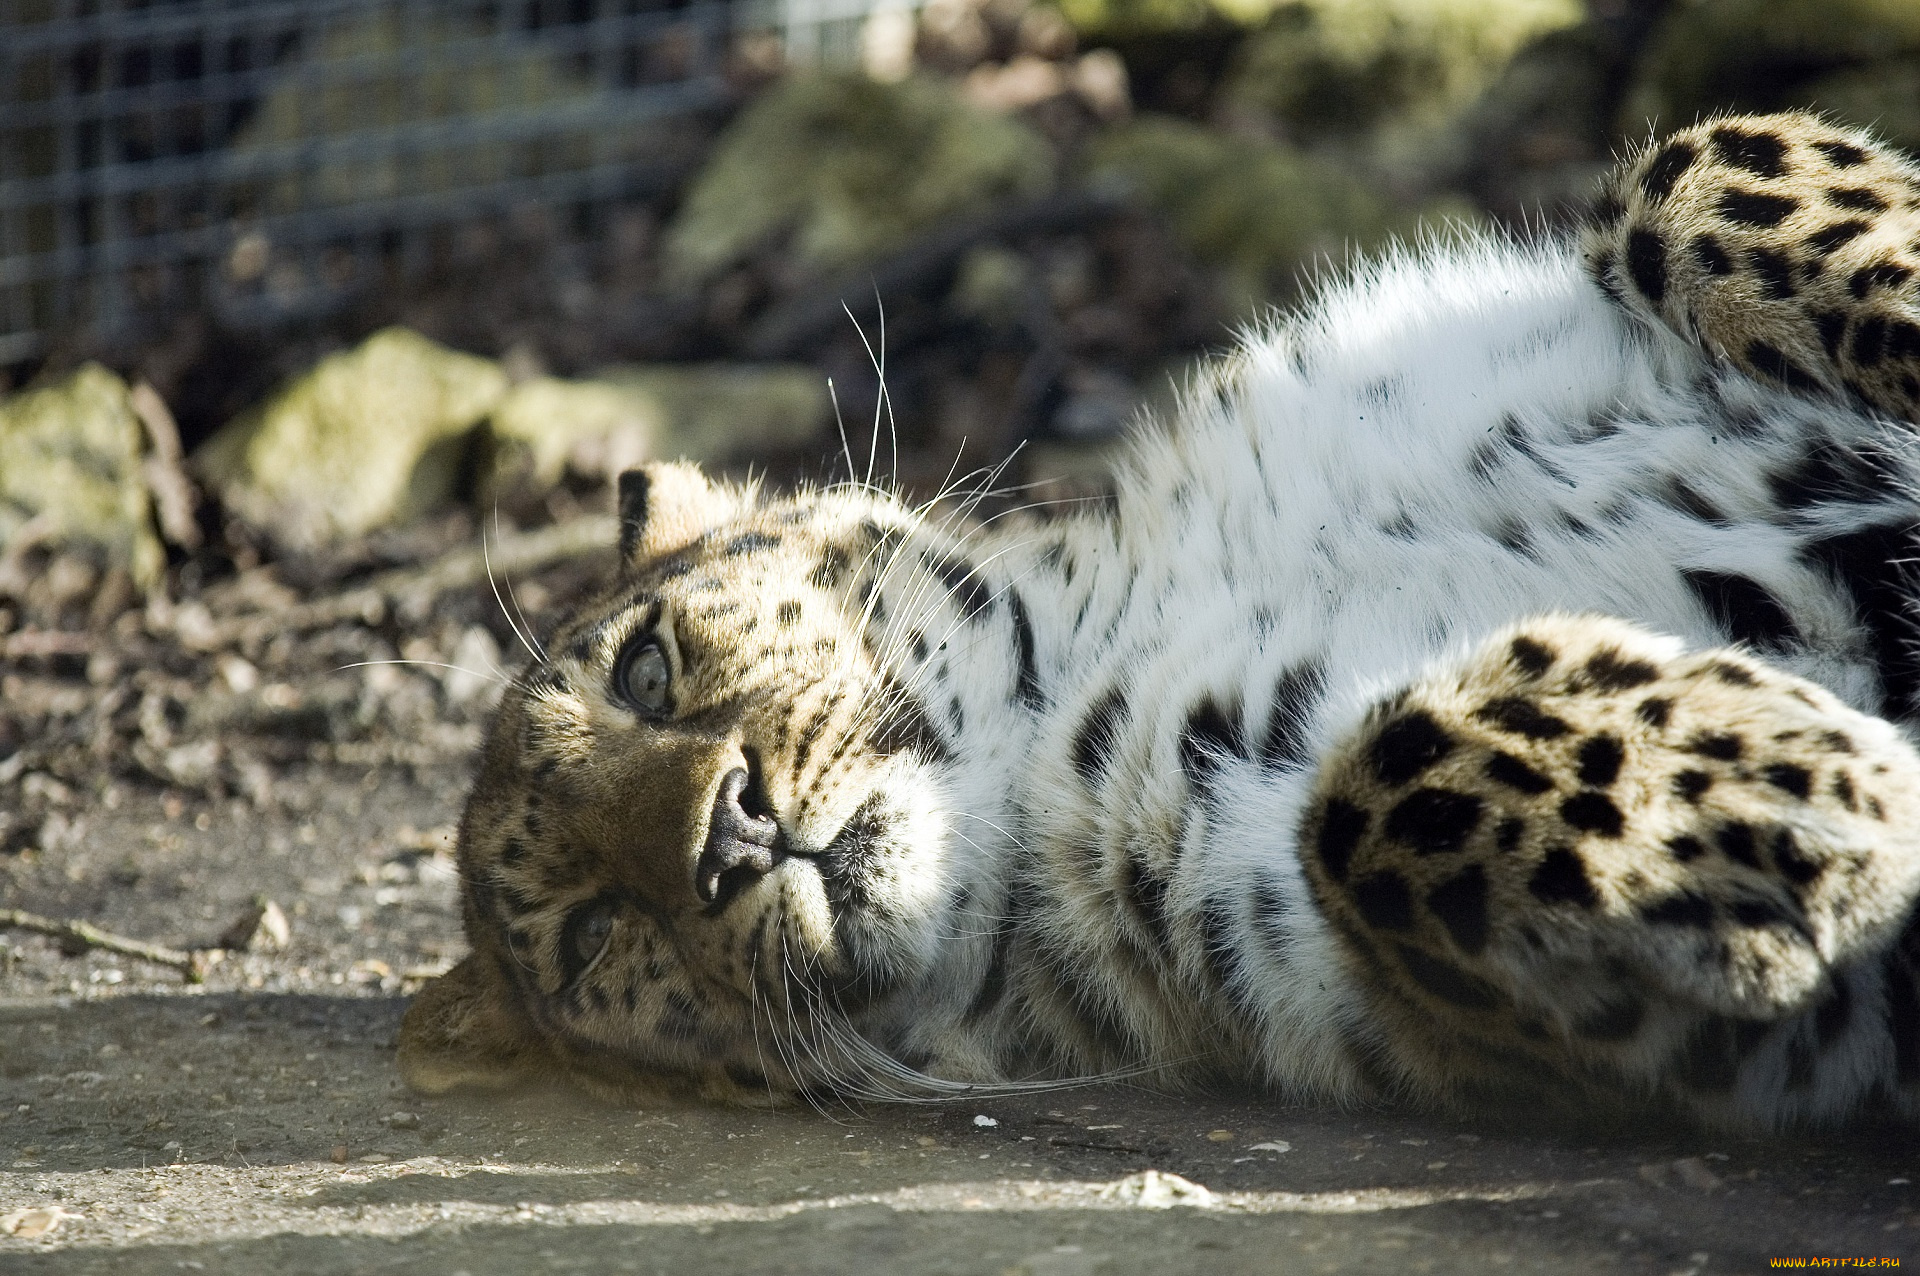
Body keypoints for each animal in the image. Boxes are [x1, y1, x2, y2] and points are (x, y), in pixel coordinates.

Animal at [401, 114, 1920, 1128]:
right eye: (596, 938)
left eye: (649, 671)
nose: (724, 836)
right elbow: (1369, 794)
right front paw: (1824, 793)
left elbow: (1697, 166)